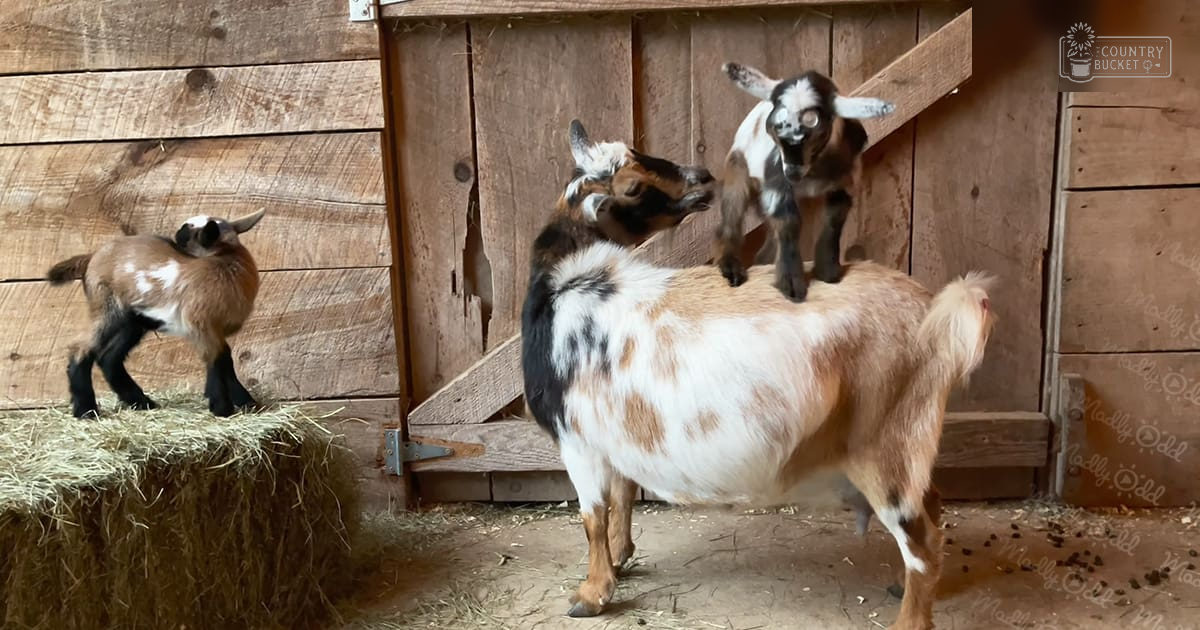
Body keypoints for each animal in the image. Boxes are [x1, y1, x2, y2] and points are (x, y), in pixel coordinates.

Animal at [46, 209, 266, 418]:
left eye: (188, 231)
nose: (176, 231)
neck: (226, 260)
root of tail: (93, 257)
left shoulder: (214, 330)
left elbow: (226, 360)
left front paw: (246, 403)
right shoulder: (201, 325)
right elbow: (218, 359)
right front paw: (222, 407)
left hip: (135, 319)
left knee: (109, 358)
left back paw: (141, 402)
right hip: (108, 309)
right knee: (81, 349)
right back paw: (86, 410)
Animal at [522, 121, 994, 630]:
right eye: (632, 184)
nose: (701, 178)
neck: (566, 285)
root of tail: (934, 311)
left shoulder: (577, 442)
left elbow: (591, 516)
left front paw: (591, 595)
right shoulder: (611, 437)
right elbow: (623, 498)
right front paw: (621, 557)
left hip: (885, 442)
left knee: (920, 539)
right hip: (909, 441)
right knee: (932, 505)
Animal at [716, 62, 895, 302]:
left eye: (818, 132)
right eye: (773, 131)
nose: (792, 172)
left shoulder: (844, 184)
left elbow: (834, 222)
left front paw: (828, 272)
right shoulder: (777, 187)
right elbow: (789, 223)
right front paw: (792, 286)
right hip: (737, 167)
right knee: (732, 215)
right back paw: (732, 269)